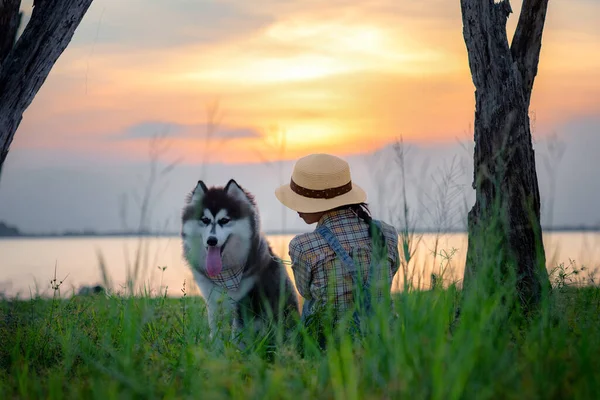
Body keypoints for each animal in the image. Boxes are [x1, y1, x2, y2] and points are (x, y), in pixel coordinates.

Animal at [179, 178, 298, 344]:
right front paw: (216, 347)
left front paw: (235, 349)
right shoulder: (212, 299)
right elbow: (215, 329)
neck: (225, 273)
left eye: (224, 220)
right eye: (205, 220)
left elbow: (238, 332)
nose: (211, 240)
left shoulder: (243, 300)